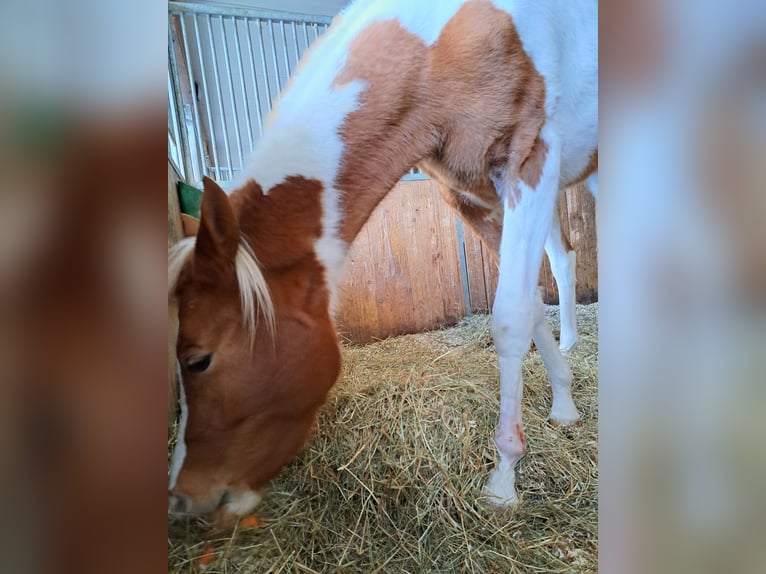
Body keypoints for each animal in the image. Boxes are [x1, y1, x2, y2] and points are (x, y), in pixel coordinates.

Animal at [170, 0, 600, 524]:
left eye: (199, 360)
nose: (181, 499)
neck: (441, 47)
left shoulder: (529, 165)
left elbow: (511, 319)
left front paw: (503, 480)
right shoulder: (467, 197)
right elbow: (533, 305)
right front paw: (564, 405)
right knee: (565, 259)